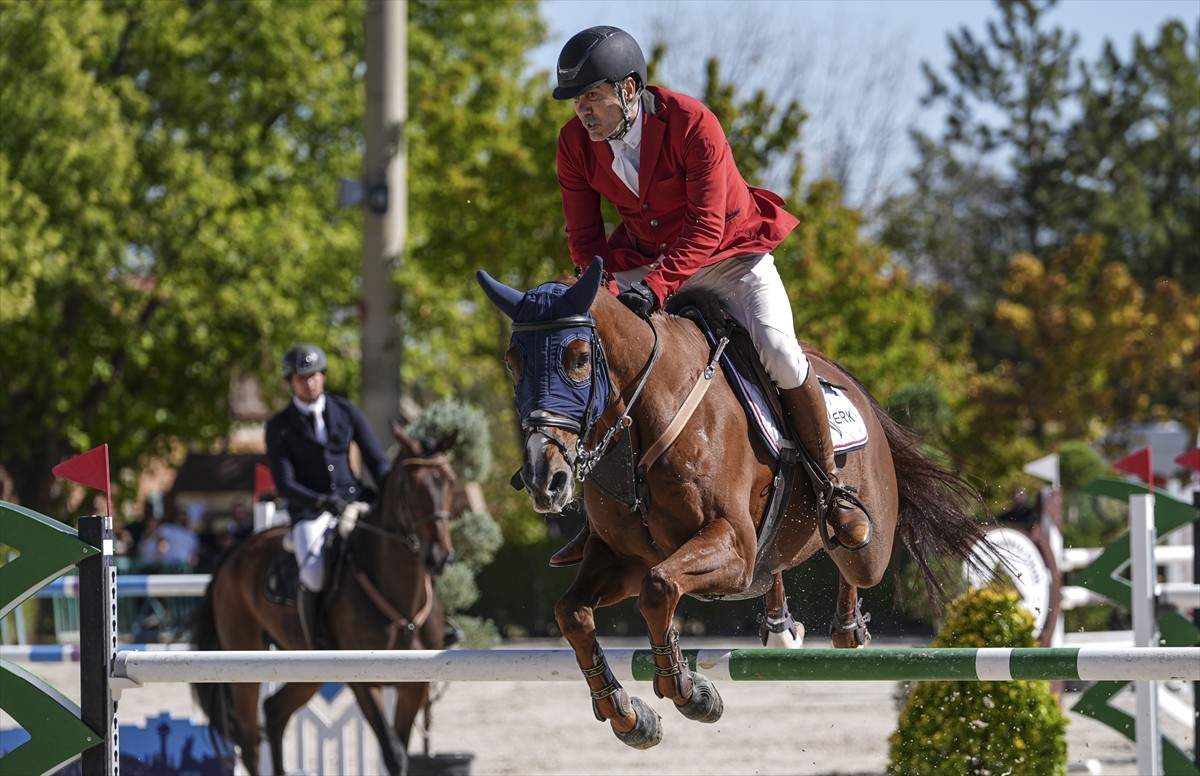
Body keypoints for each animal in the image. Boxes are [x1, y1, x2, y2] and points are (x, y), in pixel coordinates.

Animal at [189, 426, 456, 772]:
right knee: (249, 742)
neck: (401, 600)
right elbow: (394, 754)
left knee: (275, 711)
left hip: (305, 663)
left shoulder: (415, 685)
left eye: (450, 481)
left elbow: (401, 752)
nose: (439, 558)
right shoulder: (364, 683)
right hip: (242, 660)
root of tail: (235, 551)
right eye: (411, 485)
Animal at [477, 262, 993, 753]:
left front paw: (690, 691)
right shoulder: (623, 557)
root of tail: (853, 389)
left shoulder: (729, 544)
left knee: (852, 557)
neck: (641, 421)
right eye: (512, 363)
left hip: (868, 544)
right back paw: (780, 624)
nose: (543, 480)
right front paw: (627, 713)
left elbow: (659, 589)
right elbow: (573, 612)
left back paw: (848, 610)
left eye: (580, 359)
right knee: (773, 565)